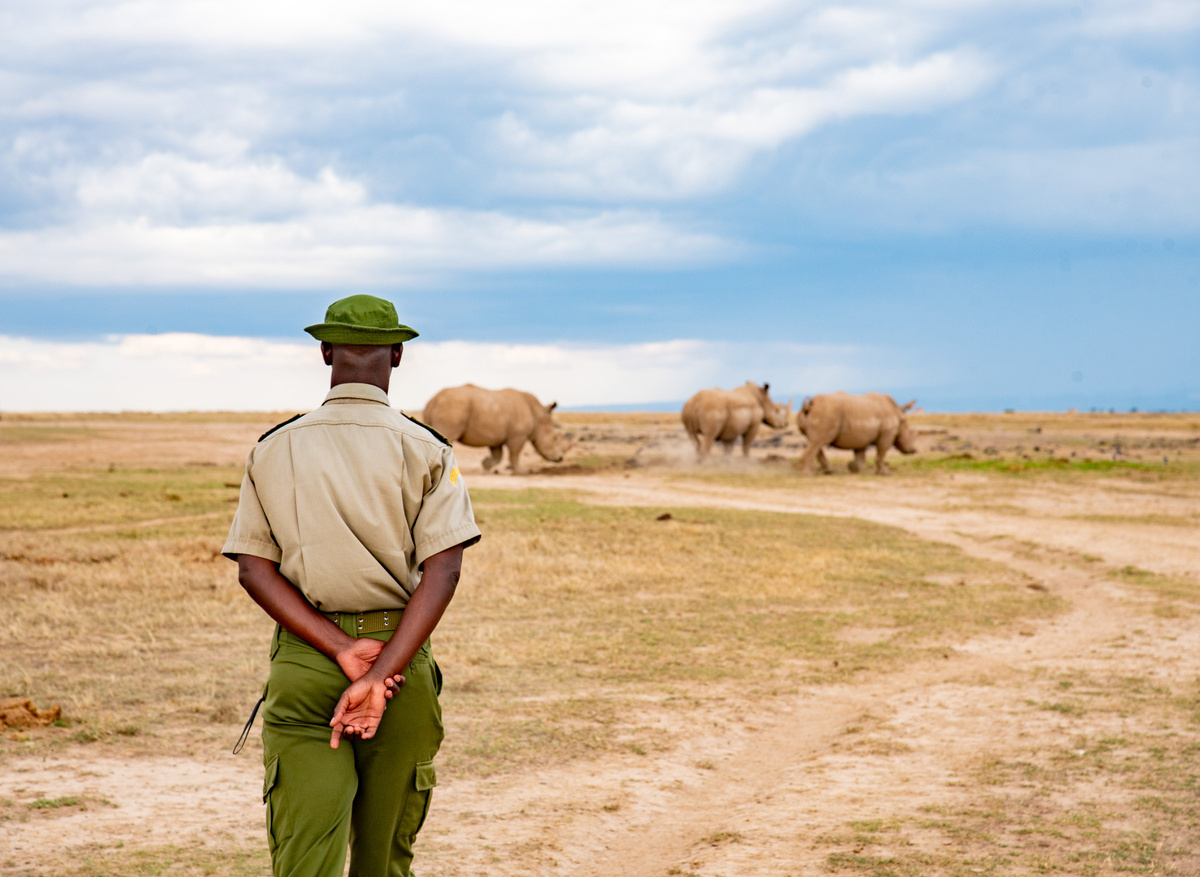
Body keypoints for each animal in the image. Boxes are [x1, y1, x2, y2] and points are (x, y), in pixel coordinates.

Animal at [422, 384, 572, 474]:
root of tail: (434, 399)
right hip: (453, 407)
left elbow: (498, 456)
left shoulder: (496, 437)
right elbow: (515, 454)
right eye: (555, 438)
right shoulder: (518, 435)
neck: (539, 417)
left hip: (447, 407)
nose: (560, 458)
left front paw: (486, 465)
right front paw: (522, 472)